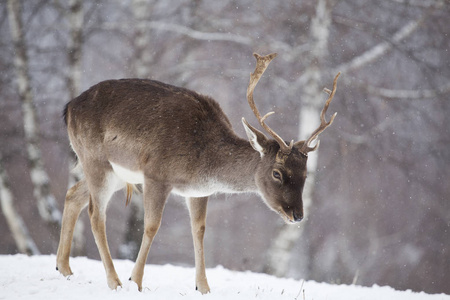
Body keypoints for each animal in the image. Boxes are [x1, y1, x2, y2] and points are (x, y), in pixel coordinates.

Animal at [54, 52, 340, 294]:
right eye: (278, 173)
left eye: (305, 175)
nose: (297, 215)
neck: (203, 161)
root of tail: (68, 108)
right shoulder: (156, 175)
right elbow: (151, 226)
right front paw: (135, 281)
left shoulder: (199, 191)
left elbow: (199, 230)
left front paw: (203, 288)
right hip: (96, 159)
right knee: (95, 214)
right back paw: (114, 281)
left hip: (115, 173)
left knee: (72, 194)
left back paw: (64, 268)